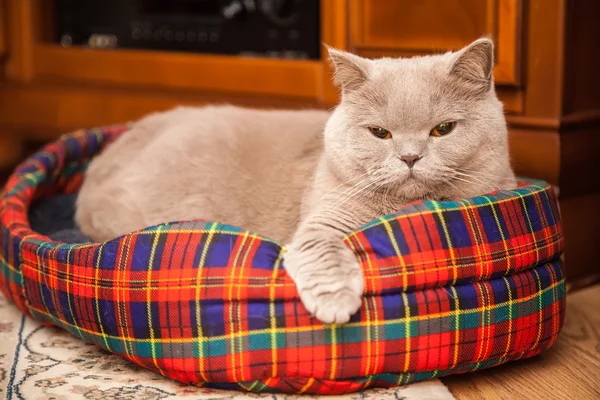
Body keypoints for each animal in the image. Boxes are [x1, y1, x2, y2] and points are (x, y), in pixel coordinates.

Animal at [74, 37, 516, 324]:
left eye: (443, 129)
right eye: (380, 133)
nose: (409, 157)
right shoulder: (322, 222)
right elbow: (323, 252)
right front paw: (336, 304)